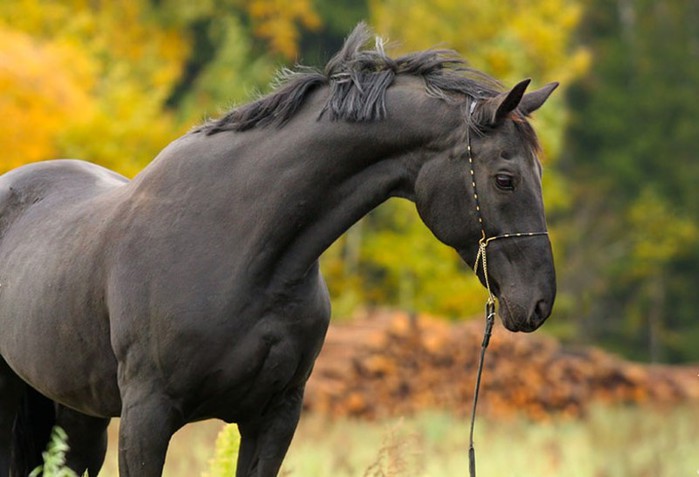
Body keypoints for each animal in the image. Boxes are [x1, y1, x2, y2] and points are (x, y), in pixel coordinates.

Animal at [0, 24, 556, 474]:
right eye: (505, 179)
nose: (538, 303)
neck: (237, 249)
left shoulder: (275, 417)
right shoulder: (146, 417)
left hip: (78, 413)